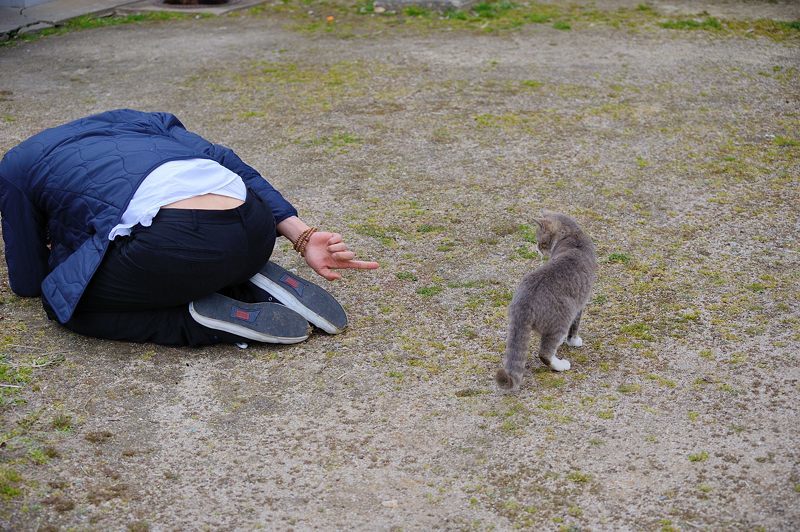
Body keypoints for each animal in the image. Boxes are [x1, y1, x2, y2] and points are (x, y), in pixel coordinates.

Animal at [496, 212, 596, 390]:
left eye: (541, 242)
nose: (537, 249)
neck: (573, 236)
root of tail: (523, 305)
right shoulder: (580, 304)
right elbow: (575, 327)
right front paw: (573, 341)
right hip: (563, 316)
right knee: (544, 353)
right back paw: (561, 365)